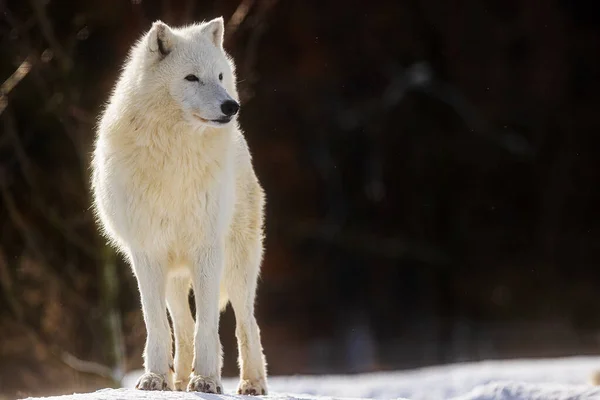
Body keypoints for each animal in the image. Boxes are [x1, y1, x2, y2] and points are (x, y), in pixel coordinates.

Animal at [91, 18, 268, 394]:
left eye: (219, 76)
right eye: (191, 78)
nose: (232, 106)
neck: (175, 153)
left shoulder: (207, 250)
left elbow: (208, 326)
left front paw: (206, 380)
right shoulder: (146, 254)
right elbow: (157, 324)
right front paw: (156, 377)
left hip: (237, 266)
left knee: (246, 323)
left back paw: (252, 384)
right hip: (174, 275)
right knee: (183, 327)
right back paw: (179, 379)